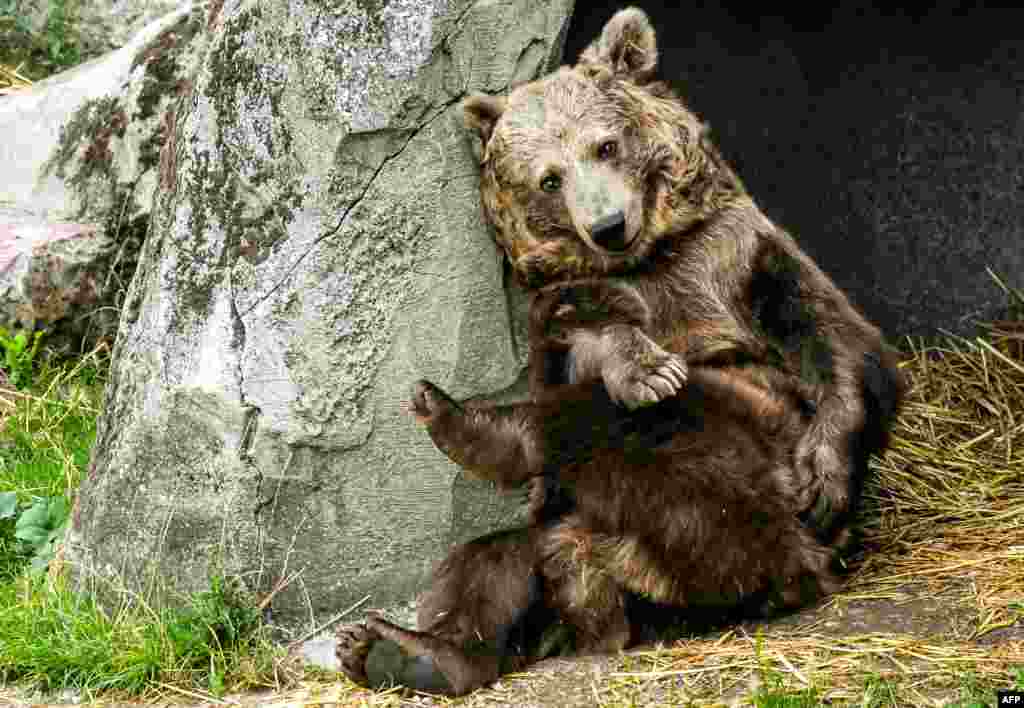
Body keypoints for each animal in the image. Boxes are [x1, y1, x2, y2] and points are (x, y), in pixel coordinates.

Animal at [336, 6, 906, 696]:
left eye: (604, 145)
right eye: (548, 178)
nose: (607, 225)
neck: (648, 257)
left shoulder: (736, 254)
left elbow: (838, 338)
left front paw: (826, 474)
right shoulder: (558, 304)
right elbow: (581, 334)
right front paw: (641, 364)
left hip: (749, 466)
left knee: (648, 434)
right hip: (589, 542)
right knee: (495, 558)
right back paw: (400, 648)